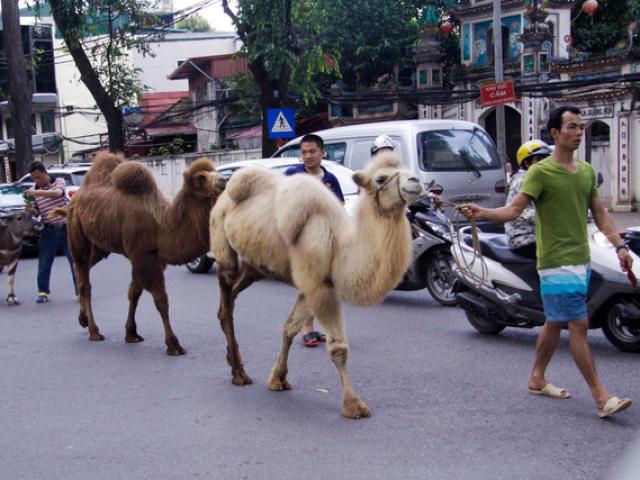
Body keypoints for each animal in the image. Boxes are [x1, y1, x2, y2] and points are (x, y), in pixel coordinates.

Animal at [62, 152, 226, 354]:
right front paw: (173, 344)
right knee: (85, 280)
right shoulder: (143, 255)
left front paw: (131, 333)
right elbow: (160, 299)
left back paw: (83, 319)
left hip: (100, 246)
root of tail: (76, 198)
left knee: (80, 269)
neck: (161, 227)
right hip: (77, 232)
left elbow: (134, 293)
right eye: (201, 178)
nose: (223, 180)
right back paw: (94, 331)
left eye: (215, 171)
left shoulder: (150, 257)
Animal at [208, 153, 422, 416]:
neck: (338, 247)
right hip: (222, 244)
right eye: (381, 178)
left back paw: (234, 362)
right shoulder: (318, 287)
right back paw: (239, 373)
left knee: (229, 300)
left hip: (253, 267)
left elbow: (289, 328)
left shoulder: (312, 286)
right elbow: (338, 348)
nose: (416, 181)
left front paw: (278, 379)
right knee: (227, 303)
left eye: (407, 169)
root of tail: (223, 196)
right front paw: (353, 404)